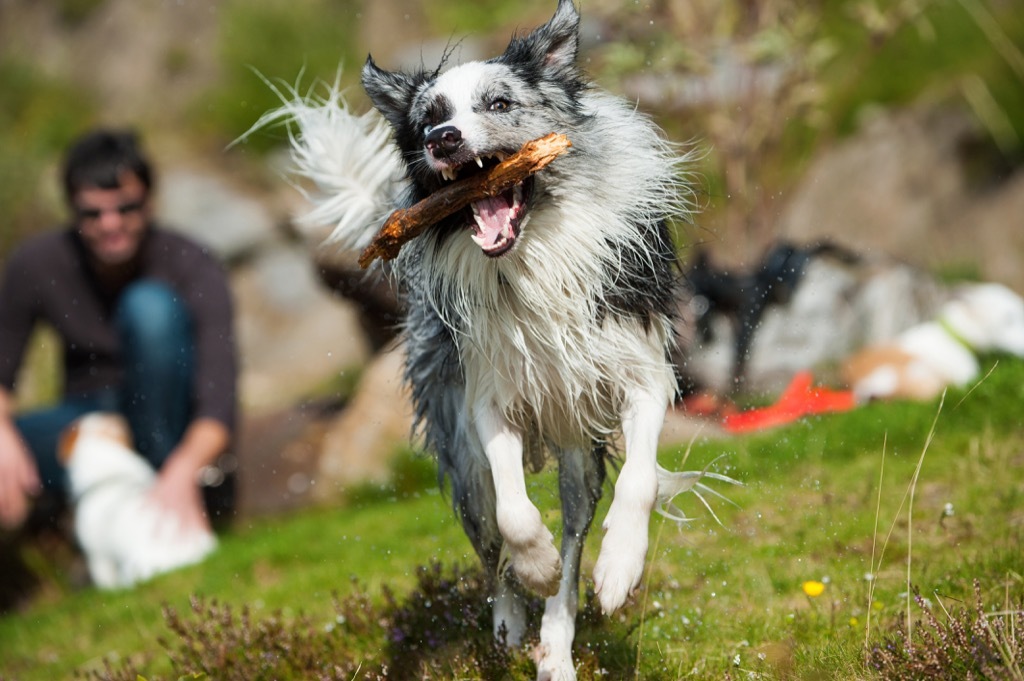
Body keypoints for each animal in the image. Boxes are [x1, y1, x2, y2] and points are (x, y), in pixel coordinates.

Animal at [258, 2, 737, 675]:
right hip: (460, 446)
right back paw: (512, 620)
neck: (534, 256)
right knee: (489, 537)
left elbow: (639, 481)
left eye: (499, 103)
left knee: (574, 537)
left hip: (576, 449)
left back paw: (557, 647)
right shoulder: (487, 402)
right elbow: (514, 514)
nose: (443, 140)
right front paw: (532, 567)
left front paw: (619, 568)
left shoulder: (642, 377)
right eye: (428, 119)